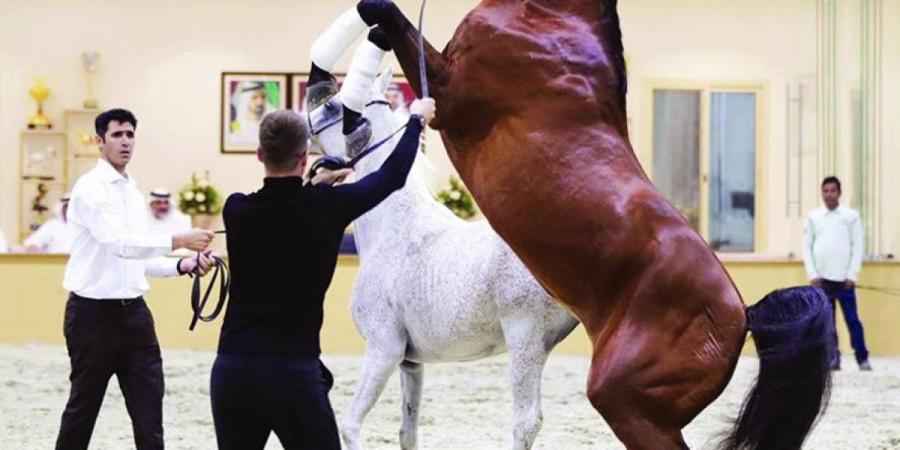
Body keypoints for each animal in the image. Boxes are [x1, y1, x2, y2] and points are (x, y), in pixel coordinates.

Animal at [310, 34, 576, 446]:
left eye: (333, 104)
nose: (303, 120)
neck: (396, 225)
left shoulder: (383, 351)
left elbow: (350, 424)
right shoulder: (410, 363)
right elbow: (408, 431)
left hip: (525, 340)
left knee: (526, 420)